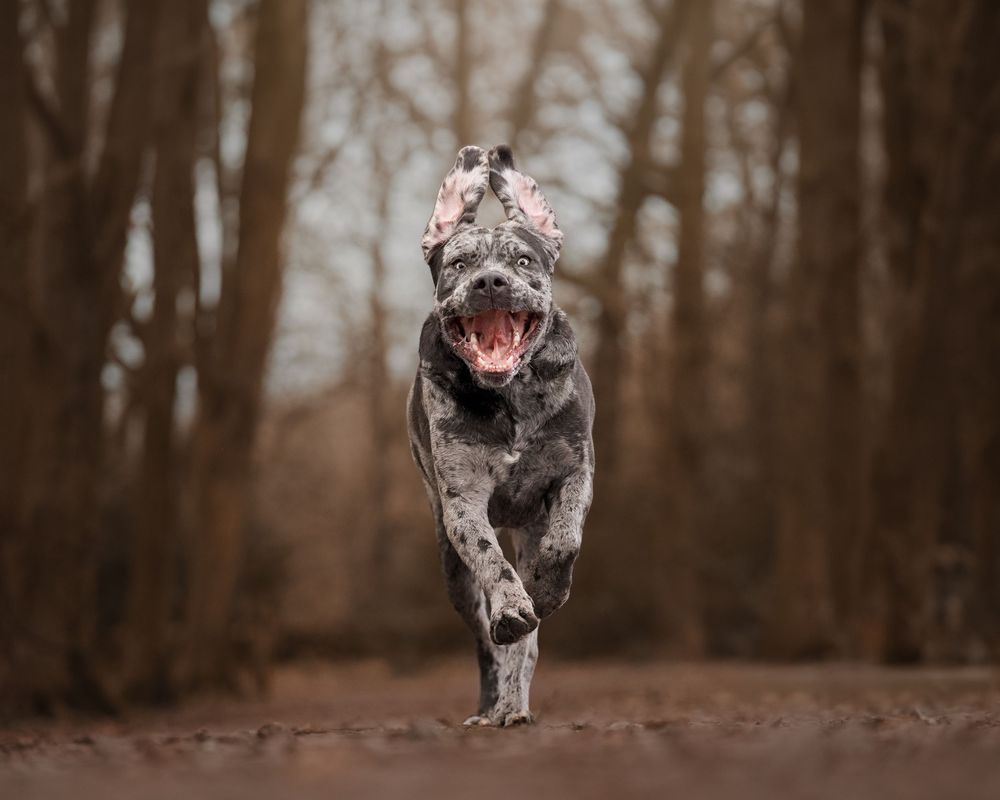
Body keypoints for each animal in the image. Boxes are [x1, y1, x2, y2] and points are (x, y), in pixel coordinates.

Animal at [407, 145, 595, 726]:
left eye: (523, 261)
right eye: (459, 263)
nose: (489, 282)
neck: (509, 397)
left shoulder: (575, 472)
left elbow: (565, 540)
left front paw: (548, 589)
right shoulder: (463, 502)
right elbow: (494, 565)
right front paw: (513, 606)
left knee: (524, 648)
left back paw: (514, 706)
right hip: (451, 567)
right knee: (488, 643)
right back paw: (492, 705)